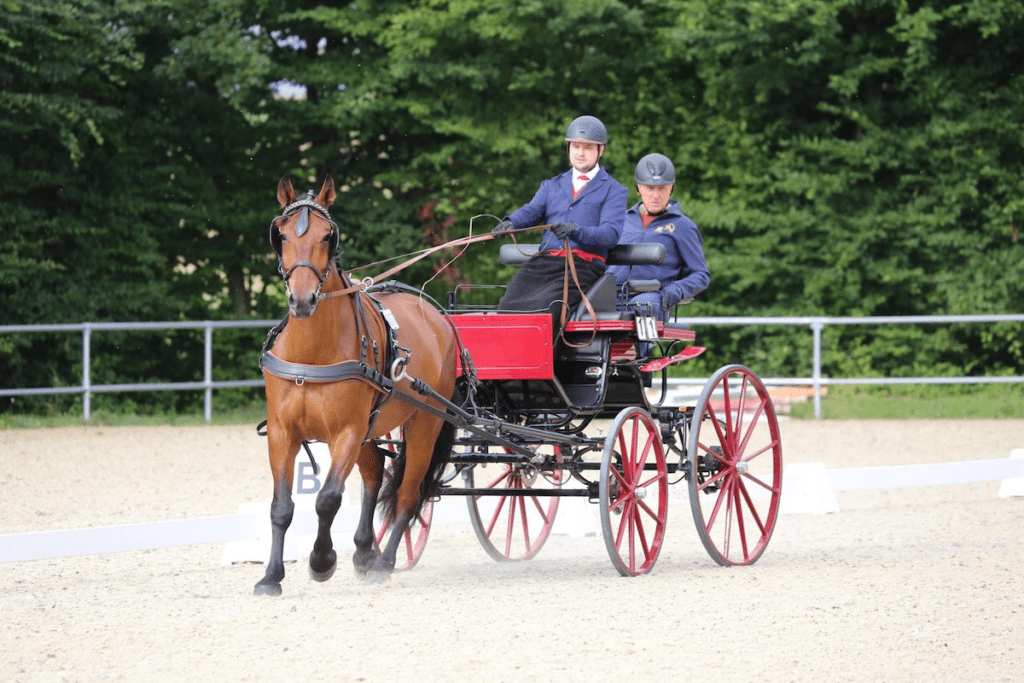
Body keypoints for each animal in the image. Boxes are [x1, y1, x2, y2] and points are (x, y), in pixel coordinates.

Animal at [251, 174, 456, 593]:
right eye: (281, 234)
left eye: (327, 235)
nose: (302, 300)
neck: (312, 353)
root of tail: (437, 315)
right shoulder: (282, 432)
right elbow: (281, 507)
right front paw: (271, 576)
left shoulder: (346, 430)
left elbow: (327, 498)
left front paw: (321, 561)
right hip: (372, 427)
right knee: (375, 471)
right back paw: (365, 551)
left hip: (424, 423)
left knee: (408, 494)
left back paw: (384, 562)